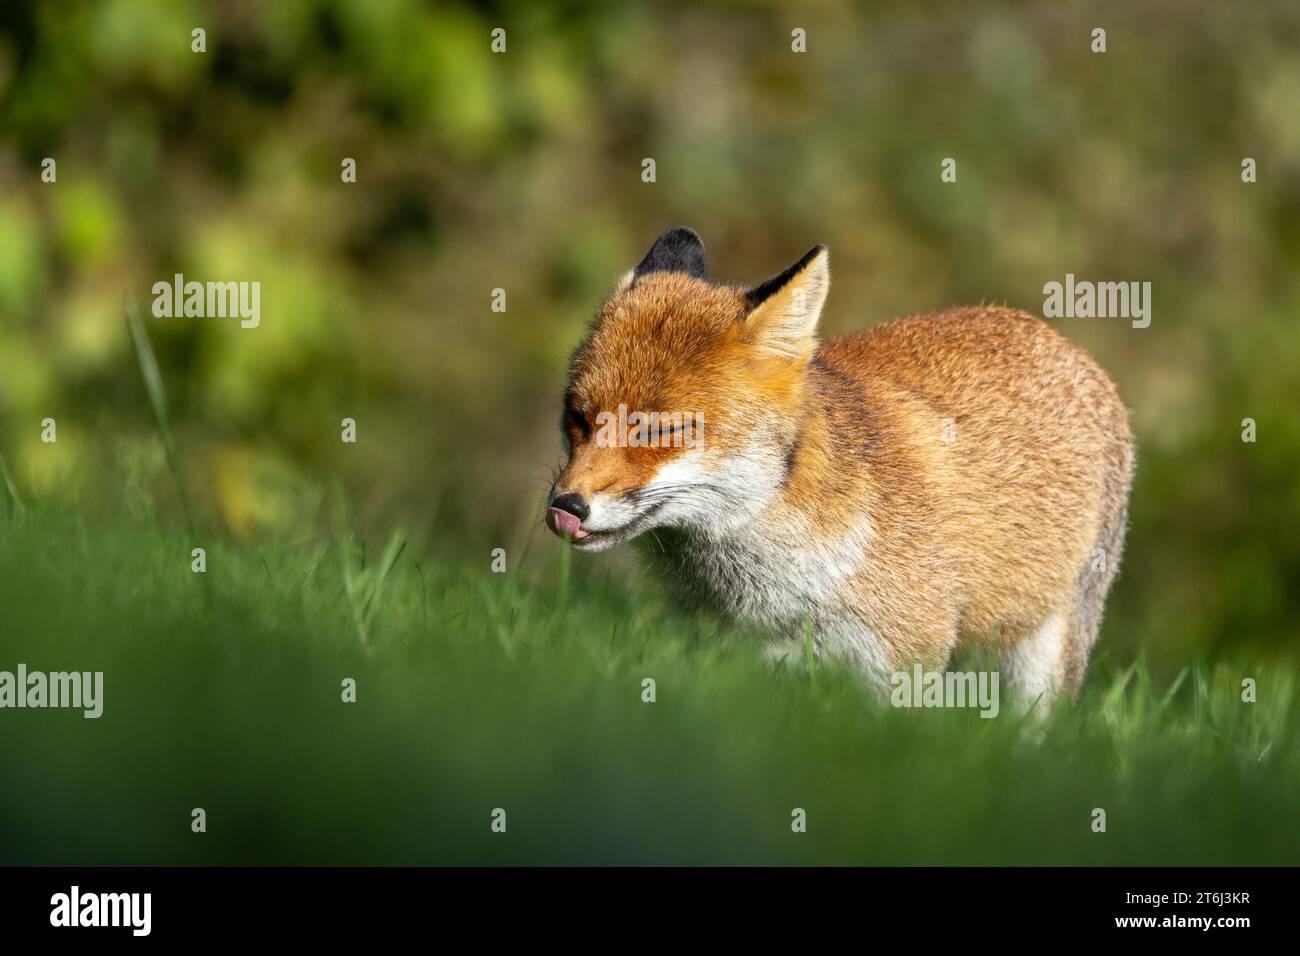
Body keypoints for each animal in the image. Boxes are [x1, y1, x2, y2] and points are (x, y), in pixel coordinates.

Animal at [547, 227, 1134, 704]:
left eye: (660, 430)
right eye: (576, 416)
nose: (565, 506)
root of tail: (1054, 337)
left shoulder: (902, 662)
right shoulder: (732, 655)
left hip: (1042, 656)